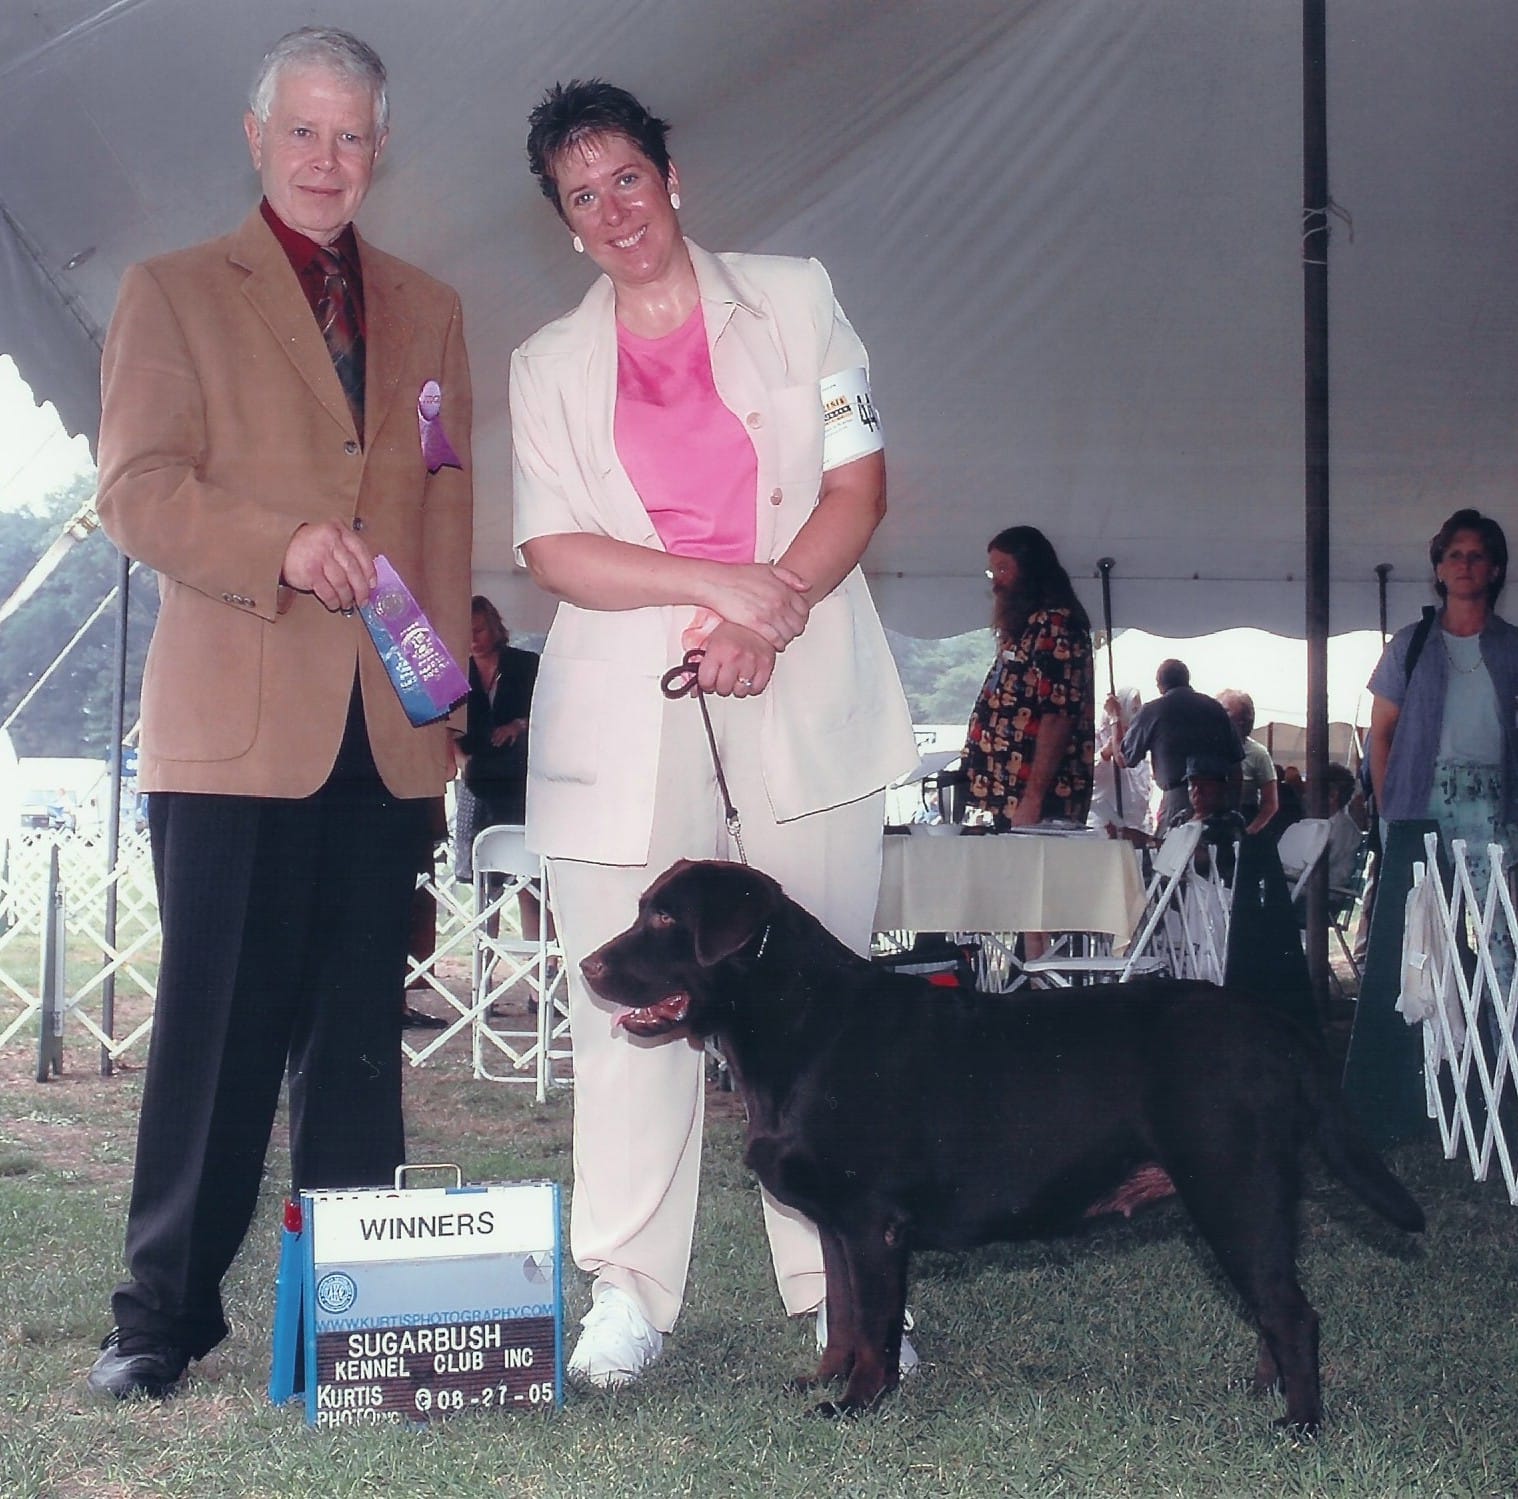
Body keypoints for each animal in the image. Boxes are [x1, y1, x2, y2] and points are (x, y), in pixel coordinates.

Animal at [581, 859, 1424, 1432]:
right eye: (641, 910)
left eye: (666, 921)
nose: (587, 964)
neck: (800, 1023)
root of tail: (1275, 1027)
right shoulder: (836, 1223)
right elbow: (845, 1312)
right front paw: (822, 1380)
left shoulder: (873, 1221)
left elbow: (875, 1322)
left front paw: (858, 1402)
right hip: (1239, 1201)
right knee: (1274, 1307)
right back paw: (1262, 1391)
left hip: (1234, 1189)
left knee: (1293, 1311)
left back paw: (1299, 1422)